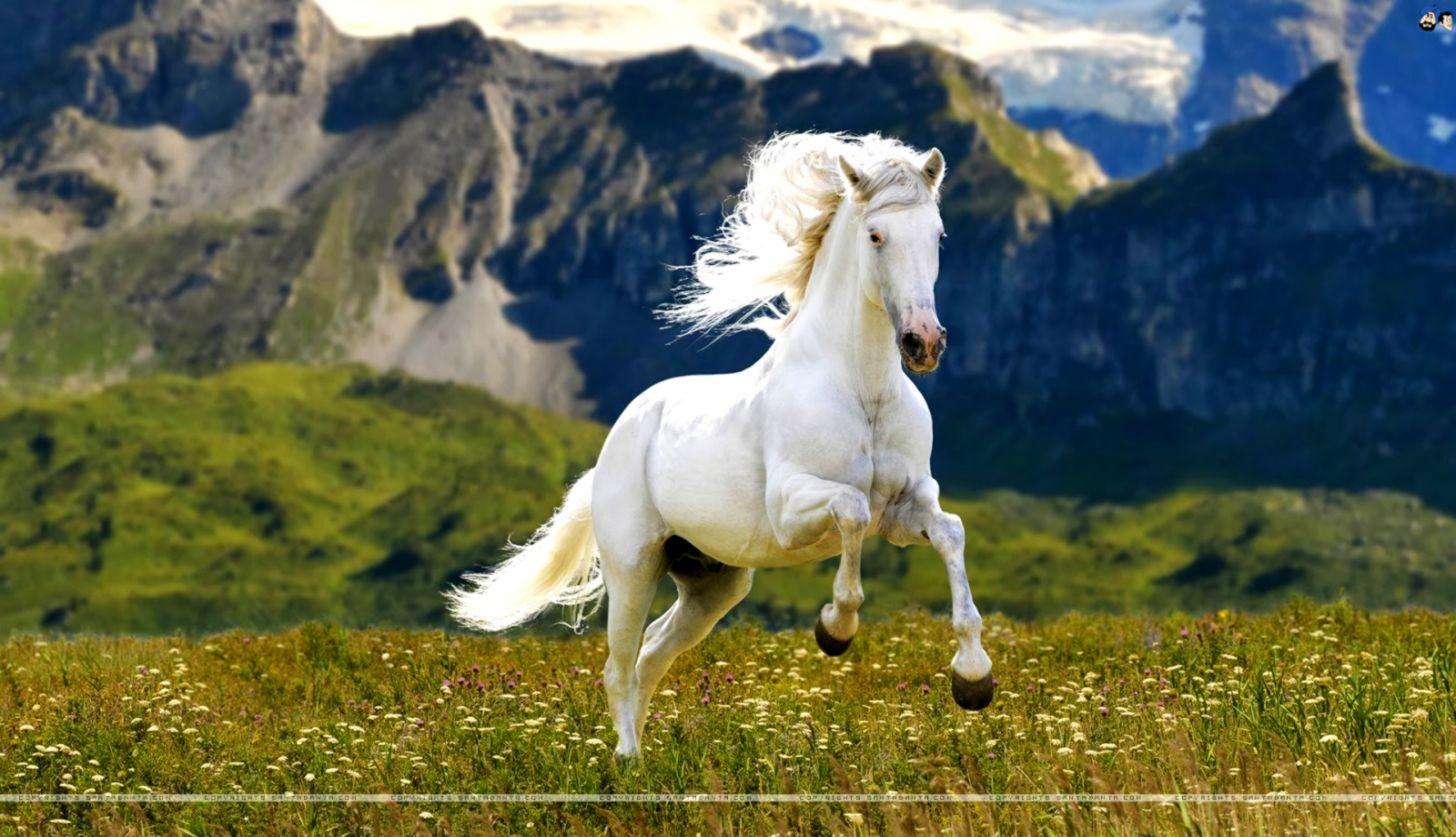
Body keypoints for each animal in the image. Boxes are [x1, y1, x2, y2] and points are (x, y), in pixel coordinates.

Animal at [448, 132, 994, 757]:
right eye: (876, 235)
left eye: (938, 234)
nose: (924, 343)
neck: (864, 393)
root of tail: (613, 445)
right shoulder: (793, 510)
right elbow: (852, 509)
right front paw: (835, 629)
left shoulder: (906, 509)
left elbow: (950, 532)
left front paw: (973, 680)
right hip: (633, 567)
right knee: (618, 665)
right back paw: (627, 760)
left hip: (713, 582)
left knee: (652, 652)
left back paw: (645, 758)